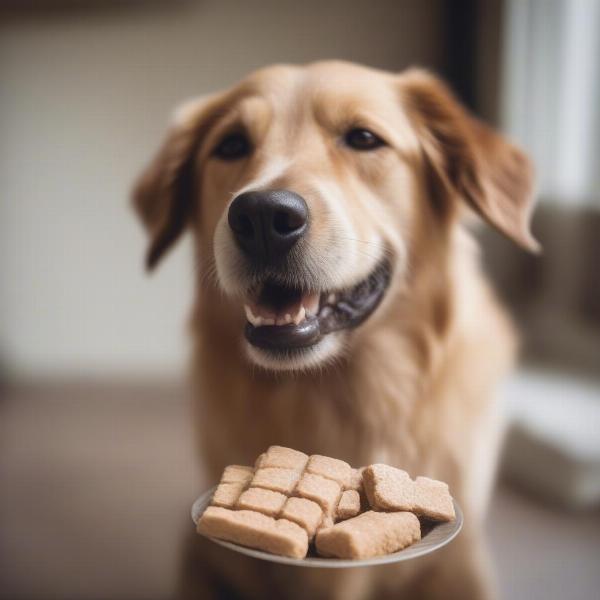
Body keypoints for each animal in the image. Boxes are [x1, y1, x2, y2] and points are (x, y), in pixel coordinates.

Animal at [134, 62, 536, 600]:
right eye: (232, 145)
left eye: (363, 138)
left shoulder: (461, 561)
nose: (262, 215)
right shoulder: (202, 558)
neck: (340, 397)